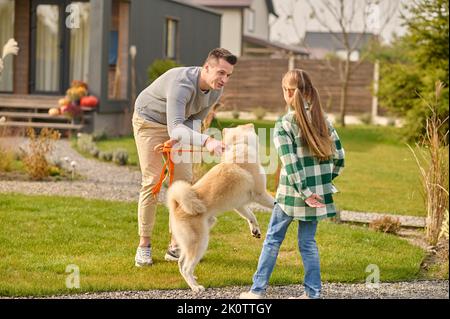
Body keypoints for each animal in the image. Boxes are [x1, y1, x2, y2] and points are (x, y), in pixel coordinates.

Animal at [167, 124, 274, 292]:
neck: (238, 146)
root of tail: (177, 206)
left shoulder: (240, 205)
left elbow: (251, 216)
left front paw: (255, 229)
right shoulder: (260, 194)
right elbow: (275, 203)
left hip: (188, 243)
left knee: (181, 263)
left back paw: (193, 280)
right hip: (200, 242)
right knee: (186, 267)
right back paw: (196, 287)